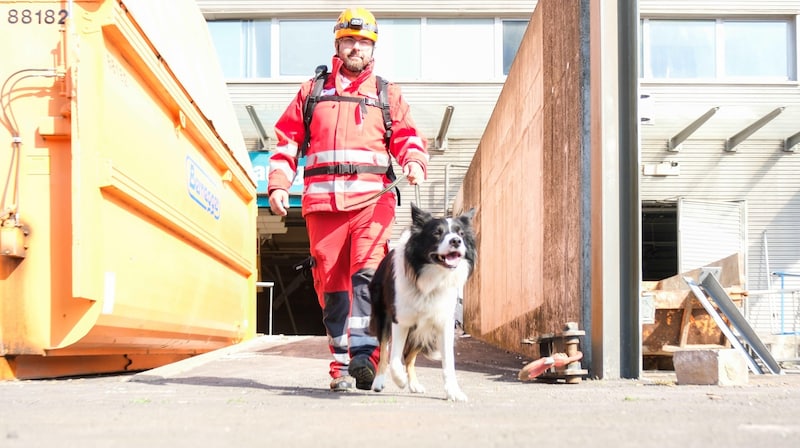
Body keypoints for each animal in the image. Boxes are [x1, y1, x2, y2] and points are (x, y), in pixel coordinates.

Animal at [368, 203, 476, 402]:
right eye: (437, 233)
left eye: (461, 233)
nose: (456, 241)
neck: (431, 279)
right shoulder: (400, 320)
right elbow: (393, 358)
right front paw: (400, 380)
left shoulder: (443, 323)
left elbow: (448, 363)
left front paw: (454, 392)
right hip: (384, 316)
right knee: (386, 351)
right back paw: (379, 382)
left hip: (423, 330)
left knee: (409, 356)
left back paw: (414, 384)